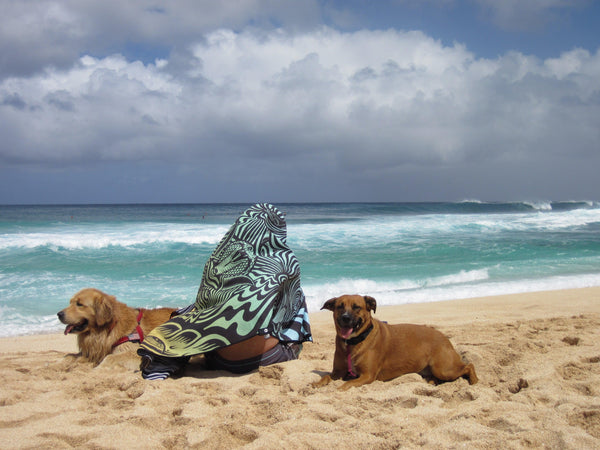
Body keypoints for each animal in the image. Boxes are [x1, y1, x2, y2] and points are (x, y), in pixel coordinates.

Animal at [314, 296, 478, 390]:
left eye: (357, 307)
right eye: (339, 306)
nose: (346, 318)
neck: (353, 342)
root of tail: (445, 338)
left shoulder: (367, 375)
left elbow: (346, 385)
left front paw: (338, 389)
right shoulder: (338, 372)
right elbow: (326, 377)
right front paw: (316, 384)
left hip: (443, 368)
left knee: (469, 365)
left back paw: (474, 382)